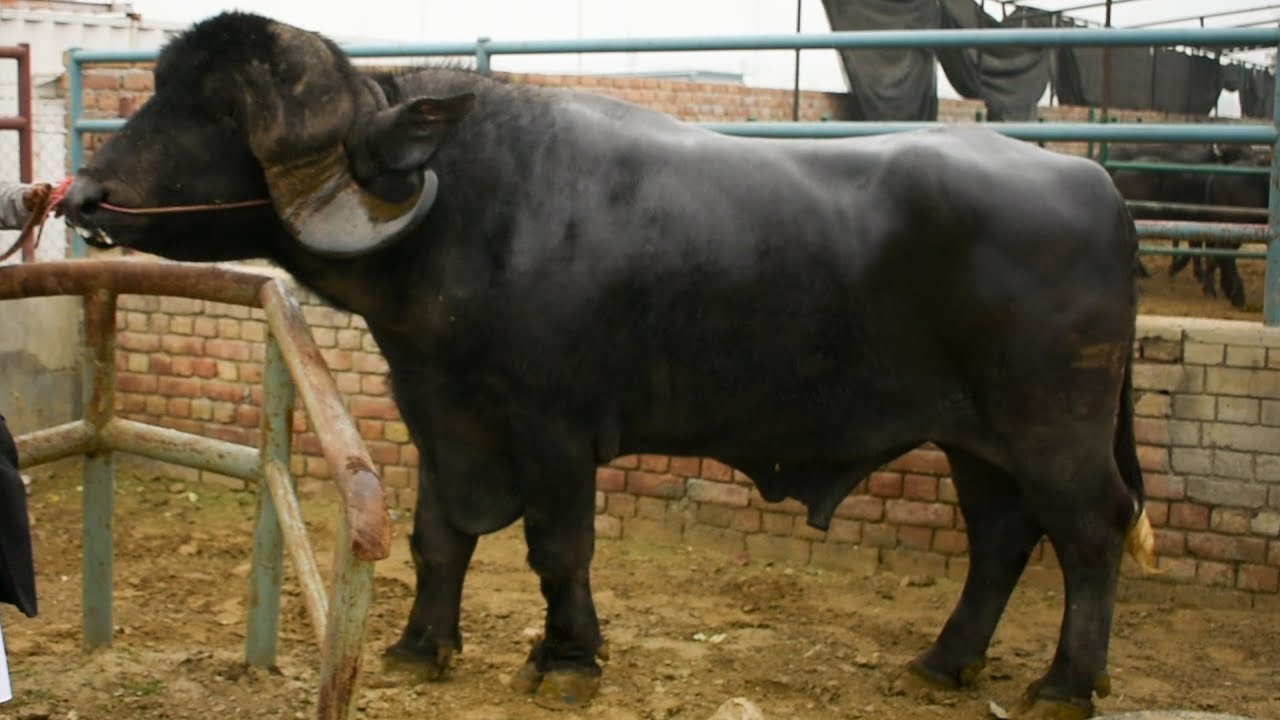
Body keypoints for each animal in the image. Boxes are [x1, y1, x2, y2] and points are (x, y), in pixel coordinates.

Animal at [61, 13, 1154, 719]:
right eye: (159, 95)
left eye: (215, 113)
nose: (83, 195)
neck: (473, 209)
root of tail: (1095, 189)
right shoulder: (440, 409)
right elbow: (438, 537)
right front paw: (422, 647)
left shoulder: (553, 429)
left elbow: (558, 548)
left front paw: (566, 660)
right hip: (977, 440)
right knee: (1003, 538)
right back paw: (944, 661)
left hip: (1050, 427)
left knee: (1088, 533)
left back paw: (1063, 685)